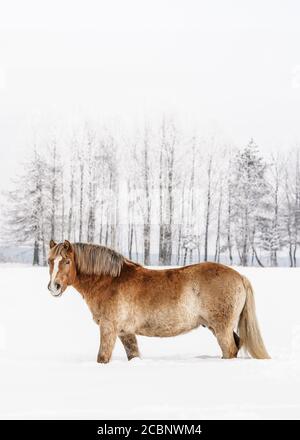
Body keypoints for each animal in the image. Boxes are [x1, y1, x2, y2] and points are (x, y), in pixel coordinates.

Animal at [47, 241, 272, 360]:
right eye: (50, 261)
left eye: (67, 261)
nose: (53, 287)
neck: (110, 281)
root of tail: (239, 276)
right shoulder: (125, 332)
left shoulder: (109, 328)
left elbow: (102, 357)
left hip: (221, 328)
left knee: (230, 349)